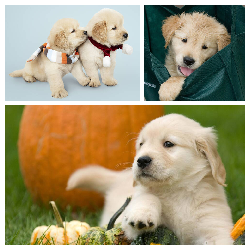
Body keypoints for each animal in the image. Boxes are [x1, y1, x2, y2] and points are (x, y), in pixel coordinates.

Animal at [67, 114, 234, 245]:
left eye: (168, 143)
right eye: (141, 144)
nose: (141, 160)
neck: (176, 190)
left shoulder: (214, 227)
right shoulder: (127, 228)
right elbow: (148, 197)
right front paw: (142, 215)